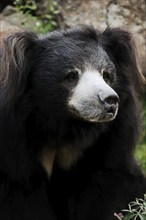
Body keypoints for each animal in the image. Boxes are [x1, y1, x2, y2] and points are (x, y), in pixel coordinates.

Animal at [0, 27, 146, 220]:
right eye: (71, 75)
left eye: (106, 74)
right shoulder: (14, 140)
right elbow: (22, 195)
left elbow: (105, 185)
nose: (110, 100)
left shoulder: (111, 139)